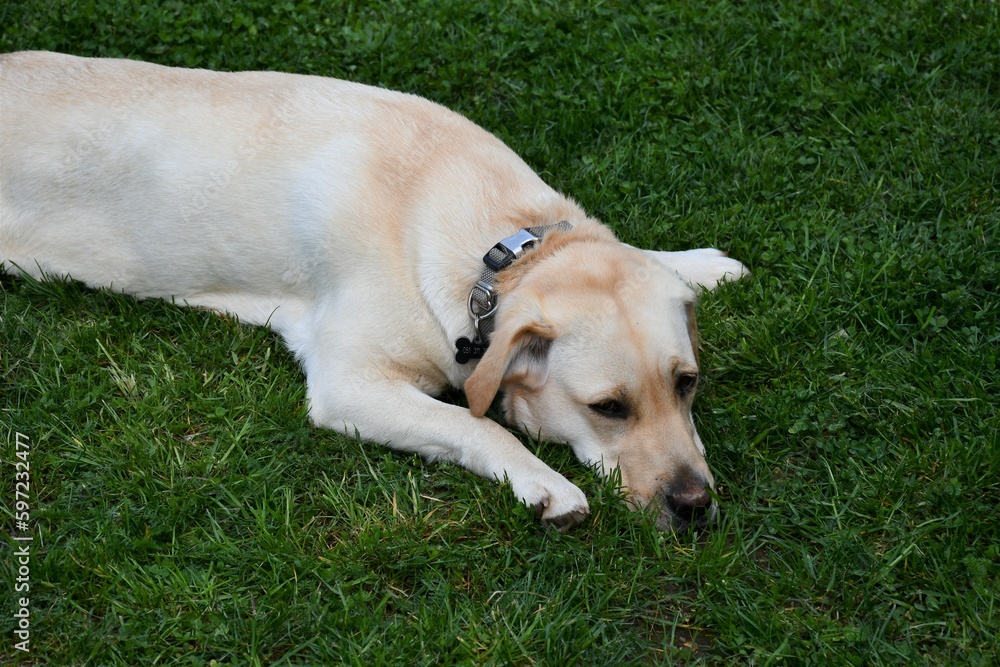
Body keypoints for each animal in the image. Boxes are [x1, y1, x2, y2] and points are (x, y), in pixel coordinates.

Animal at [0, 51, 748, 532]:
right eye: (608, 408)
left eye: (686, 383)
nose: (694, 506)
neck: (498, 251)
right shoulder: (350, 383)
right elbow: (472, 422)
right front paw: (546, 483)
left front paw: (697, 262)